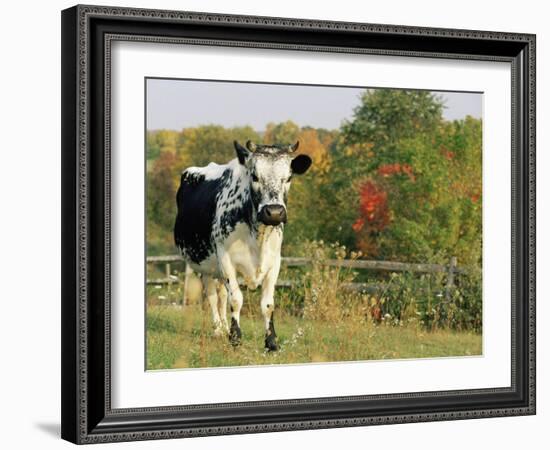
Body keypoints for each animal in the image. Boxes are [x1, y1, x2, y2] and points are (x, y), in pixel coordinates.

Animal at [175, 141, 312, 352]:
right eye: (254, 176)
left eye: (289, 177)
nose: (274, 212)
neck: (258, 236)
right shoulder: (225, 258)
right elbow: (236, 299)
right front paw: (235, 337)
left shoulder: (275, 261)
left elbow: (268, 304)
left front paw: (271, 342)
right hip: (204, 265)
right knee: (213, 296)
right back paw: (218, 330)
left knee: (222, 295)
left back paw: (223, 327)